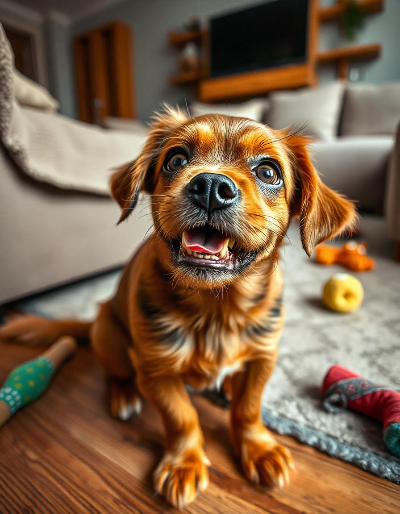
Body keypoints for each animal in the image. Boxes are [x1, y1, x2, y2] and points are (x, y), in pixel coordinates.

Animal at [0, 106, 356, 506]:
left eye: (268, 171)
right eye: (176, 160)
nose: (212, 187)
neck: (216, 308)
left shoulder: (263, 357)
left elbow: (248, 408)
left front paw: (259, 448)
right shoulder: (157, 370)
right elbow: (181, 417)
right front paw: (183, 463)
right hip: (108, 335)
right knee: (117, 372)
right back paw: (124, 395)